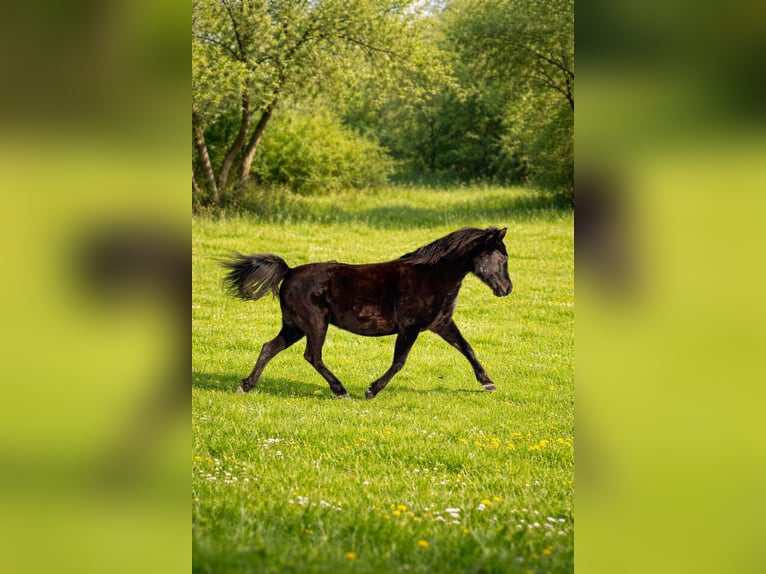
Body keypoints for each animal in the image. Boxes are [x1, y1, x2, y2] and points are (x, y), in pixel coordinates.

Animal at [221, 226, 512, 399]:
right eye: (502, 257)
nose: (507, 289)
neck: (432, 276)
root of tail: (289, 272)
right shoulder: (409, 327)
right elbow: (399, 362)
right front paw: (372, 389)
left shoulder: (441, 323)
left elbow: (467, 348)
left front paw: (488, 383)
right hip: (315, 323)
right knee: (312, 356)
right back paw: (340, 390)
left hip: (294, 326)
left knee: (269, 347)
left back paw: (246, 385)